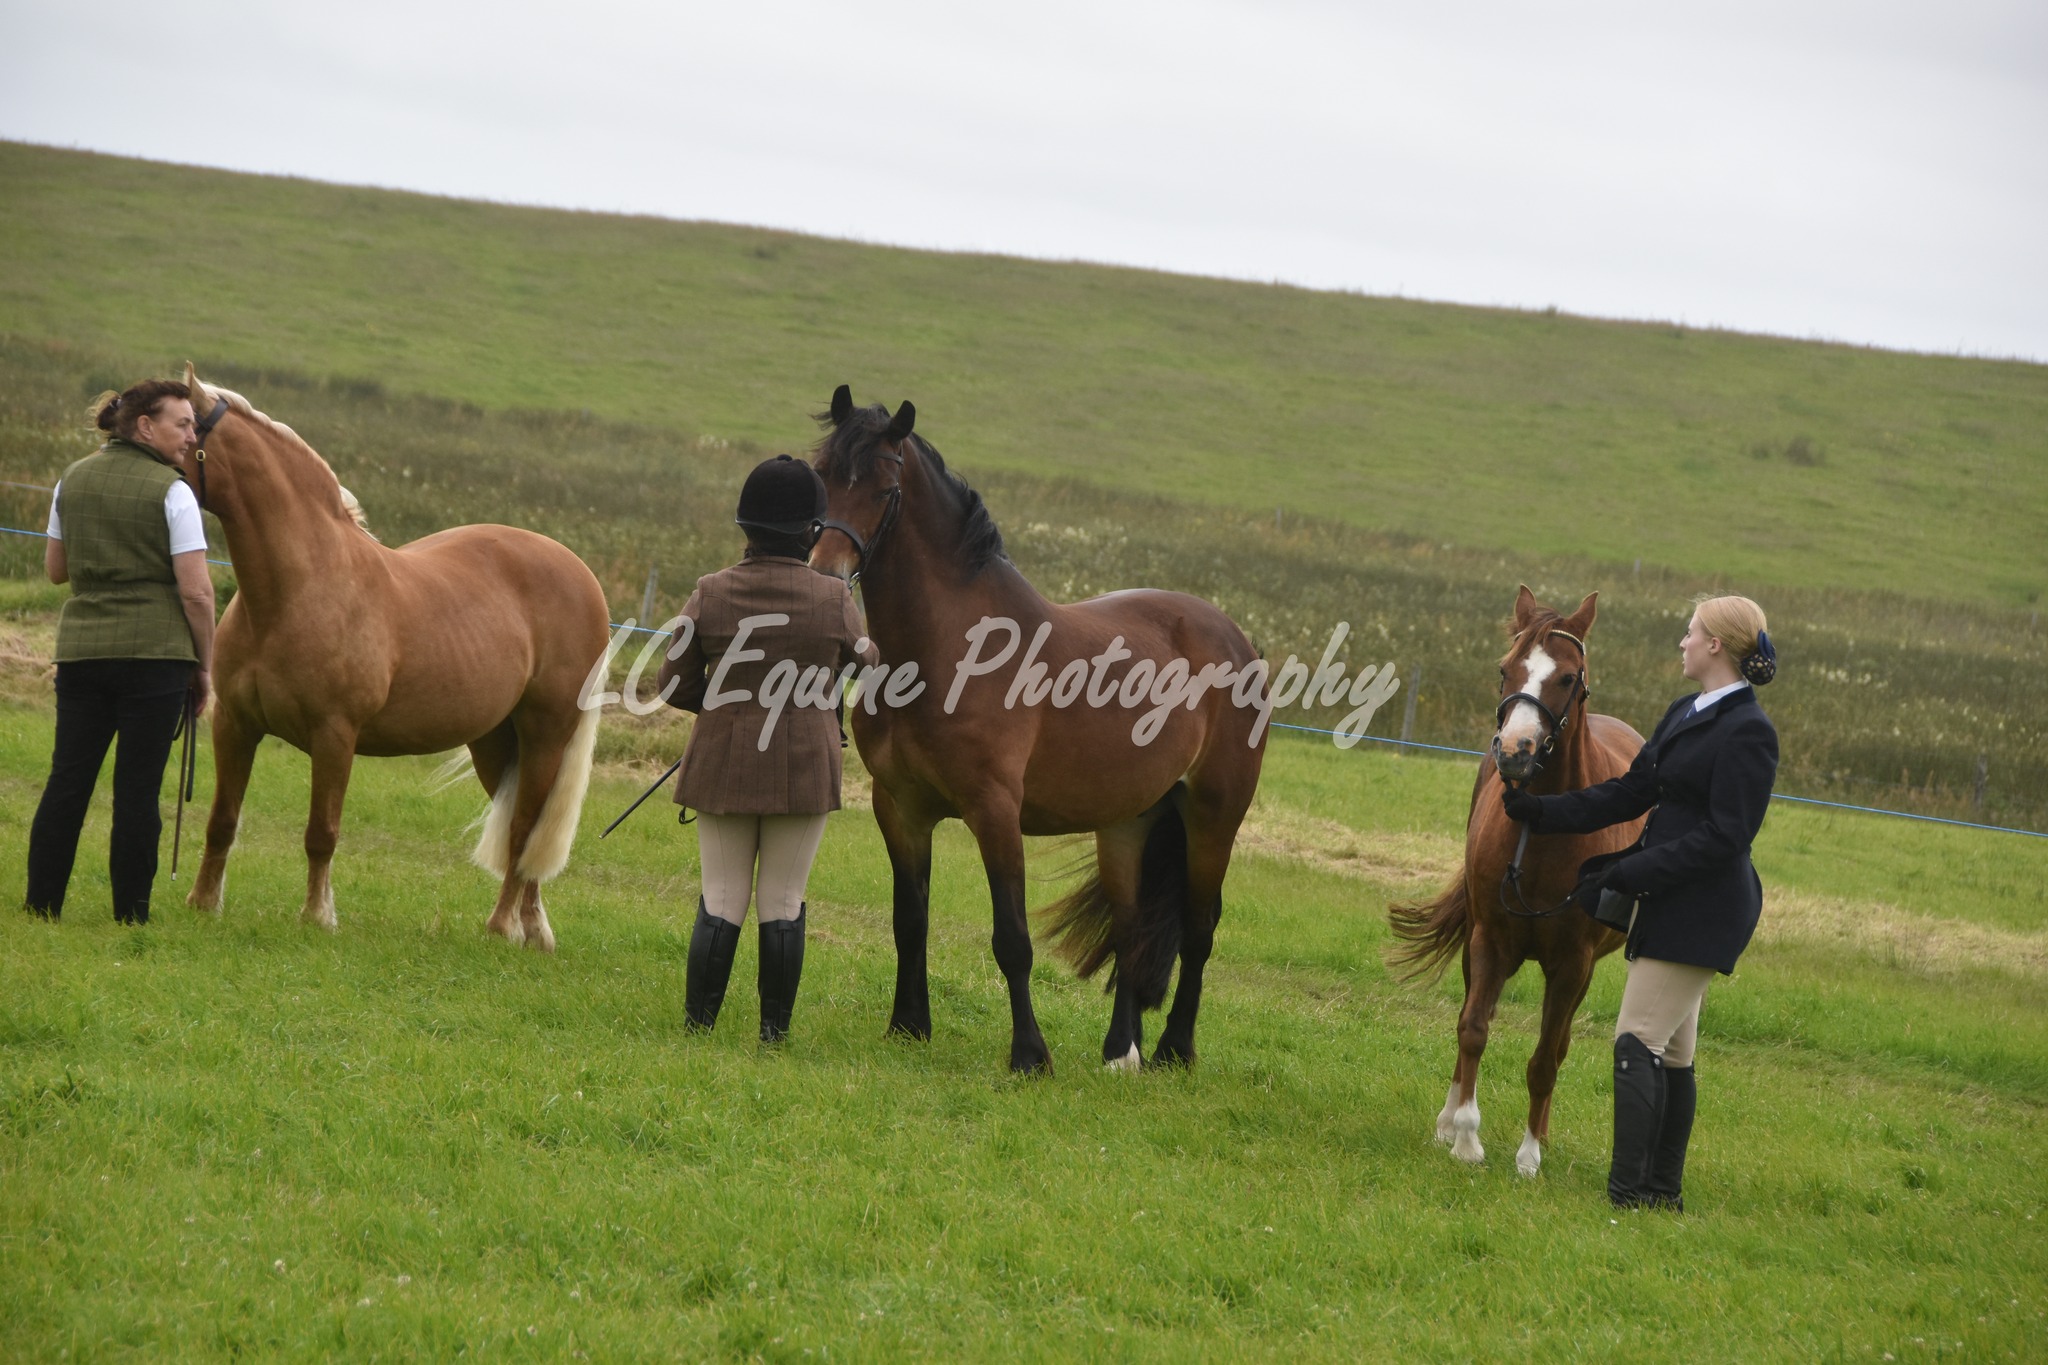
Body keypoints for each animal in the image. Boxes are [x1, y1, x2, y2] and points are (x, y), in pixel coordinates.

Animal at [178, 365, 610, 948]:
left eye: (176, 425)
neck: (300, 586)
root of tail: (581, 573)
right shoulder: (234, 724)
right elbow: (222, 819)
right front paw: (203, 903)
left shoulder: (334, 736)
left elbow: (321, 832)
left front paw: (317, 916)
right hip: (496, 743)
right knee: (525, 829)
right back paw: (533, 931)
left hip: (546, 733)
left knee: (523, 829)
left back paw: (502, 927)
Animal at [808, 386, 1267, 1074]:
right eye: (823, 474)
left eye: (886, 489)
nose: (825, 576)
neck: (950, 646)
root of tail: (1234, 637)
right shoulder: (901, 809)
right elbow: (908, 923)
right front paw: (908, 1026)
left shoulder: (995, 810)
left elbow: (1012, 939)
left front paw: (1029, 1055)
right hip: (1127, 823)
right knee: (1132, 929)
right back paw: (1120, 1052)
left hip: (1213, 817)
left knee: (1199, 929)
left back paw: (1173, 1051)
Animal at [1387, 586, 1644, 1176]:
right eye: (1506, 669)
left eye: (1568, 677)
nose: (1515, 751)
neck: (1544, 824)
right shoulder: (1490, 941)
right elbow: (1472, 1029)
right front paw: (1464, 1137)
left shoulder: (1572, 965)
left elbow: (1547, 1056)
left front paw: (1528, 1156)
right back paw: (1448, 1120)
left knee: (1560, 1043)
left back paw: (1541, 1135)